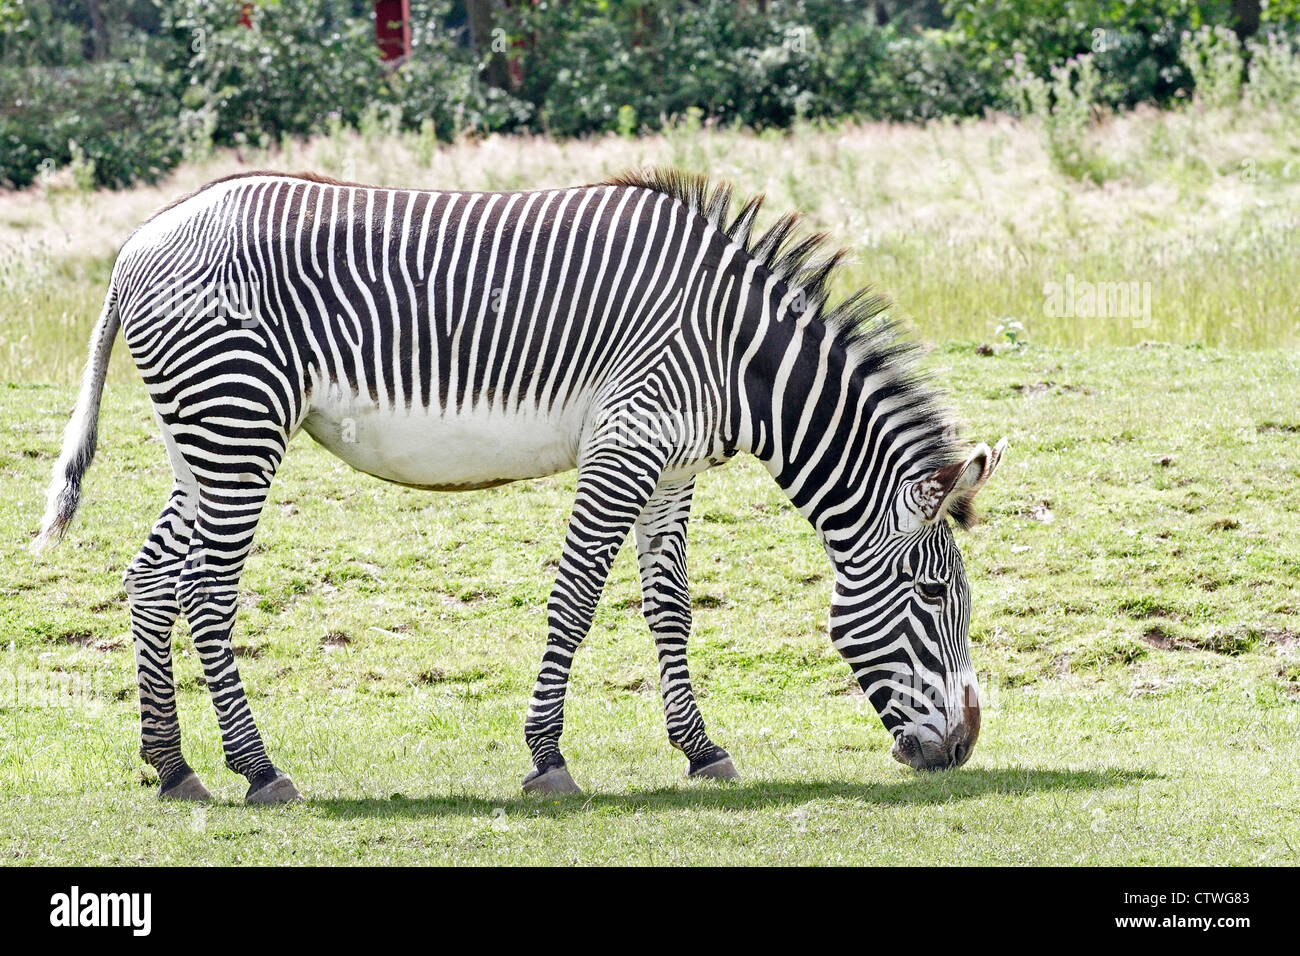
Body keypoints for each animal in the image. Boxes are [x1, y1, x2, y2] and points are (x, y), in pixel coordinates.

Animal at [33, 168, 1006, 802]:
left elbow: (669, 608)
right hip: (239, 422)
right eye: (933, 594)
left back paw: (175, 769)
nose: (963, 746)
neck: (737, 356)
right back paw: (260, 769)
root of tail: (135, 244)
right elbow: (575, 599)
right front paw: (547, 759)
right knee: (204, 587)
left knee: (151, 576)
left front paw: (701, 751)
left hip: (198, 438)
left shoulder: (672, 467)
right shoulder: (626, 443)